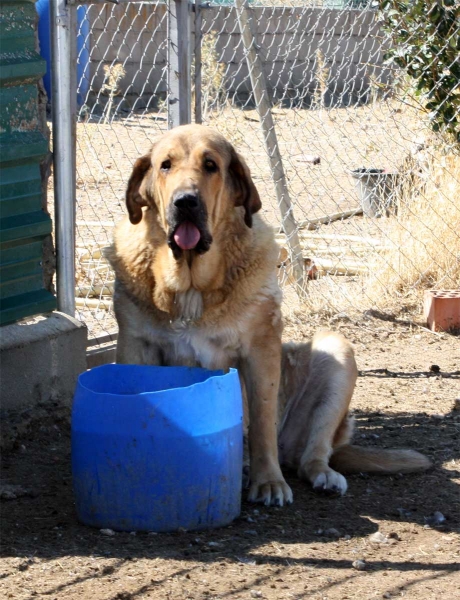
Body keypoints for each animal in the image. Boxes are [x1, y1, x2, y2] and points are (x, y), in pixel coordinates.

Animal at [108, 125, 432, 506]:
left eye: (210, 165)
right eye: (165, 165)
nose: (185, 201)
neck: (192, 288)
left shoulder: (260, 351)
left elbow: (262, 423)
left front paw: (268, 483)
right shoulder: (135, 345)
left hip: (335, 350)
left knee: (312, 454)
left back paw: (321, 474)